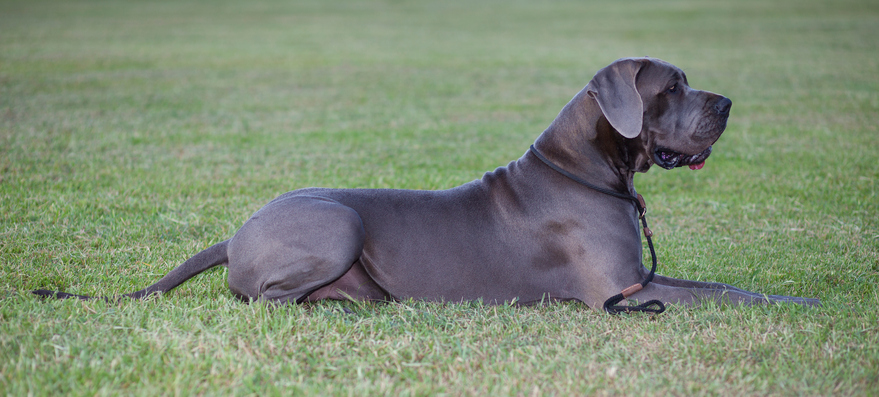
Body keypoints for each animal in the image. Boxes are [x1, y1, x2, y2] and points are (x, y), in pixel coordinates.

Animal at [32, 57, 820, 310]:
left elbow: (718, 282)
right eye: (673, 87)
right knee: (257, 299)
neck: (588, 169)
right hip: (337, 223)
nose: (727, 103)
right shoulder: (621, 292)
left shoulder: (640, 280)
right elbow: (724, 293)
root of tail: (236, 232)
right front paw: (804, 300)